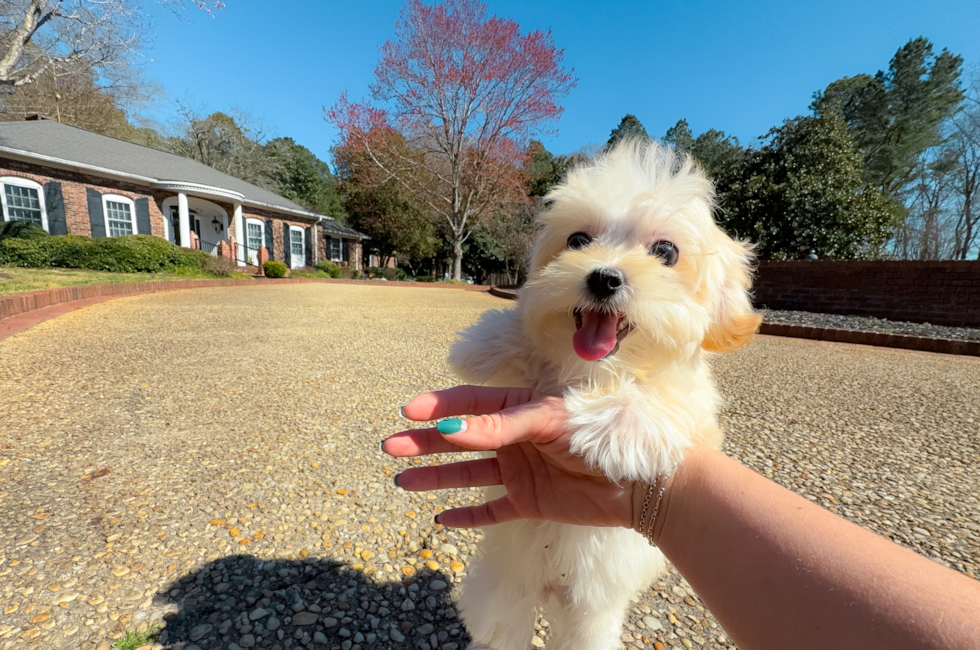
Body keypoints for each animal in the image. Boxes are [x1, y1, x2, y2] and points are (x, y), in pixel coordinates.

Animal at [448, 139, 760, 644]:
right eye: (578, 240)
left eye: (666, 251)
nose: (604, 278)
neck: (596, 371)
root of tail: (550, 587)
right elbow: (525, 343)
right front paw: (481, 344)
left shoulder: (695, 413)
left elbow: (666, 403)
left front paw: (605, 425)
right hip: (502, 590)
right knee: (501, 623)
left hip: (590, 617)